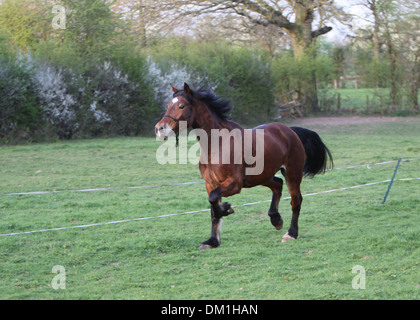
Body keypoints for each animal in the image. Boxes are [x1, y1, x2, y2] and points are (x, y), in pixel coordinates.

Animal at [156, 82, 334, 250]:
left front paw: (227, 208)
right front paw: (212, 241)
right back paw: (275, 219)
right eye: (168, 105)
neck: (217, 144)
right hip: (262, 176)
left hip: (292, 173)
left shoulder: (234, 184)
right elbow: (213, 209)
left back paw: (291, 233)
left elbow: (214, 200)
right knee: (277, 185)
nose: (159, 129)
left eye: (181, 106)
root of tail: (290, 131)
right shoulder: (211, 184)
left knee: (295, 200)